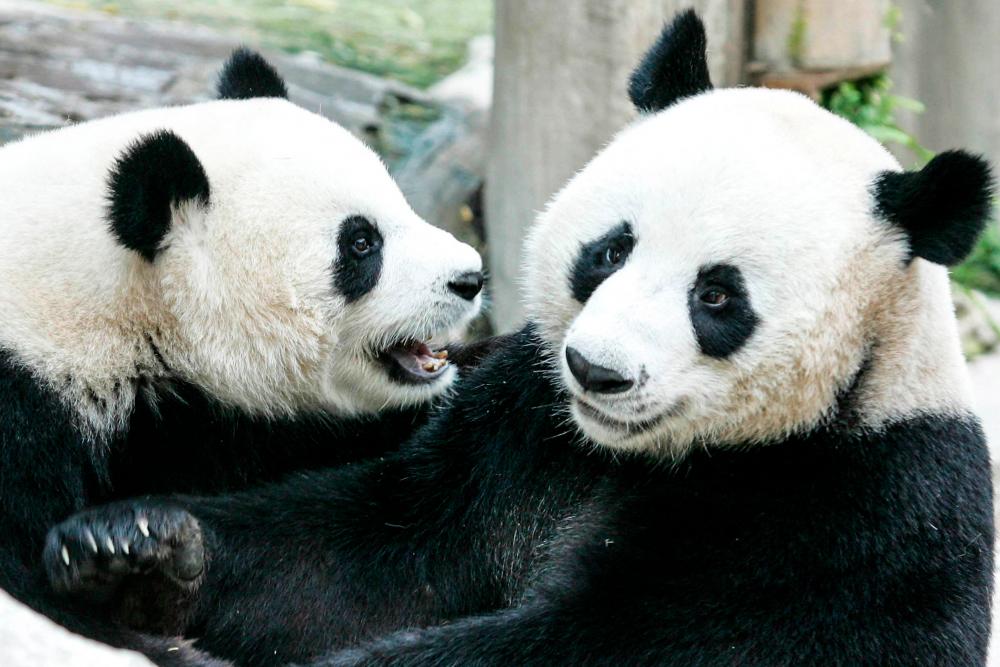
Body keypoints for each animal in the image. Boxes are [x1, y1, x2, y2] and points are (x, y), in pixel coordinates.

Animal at [45, 10, 992, 667]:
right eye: (610, 249)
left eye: (718, 296)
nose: (598, 371)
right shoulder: (520, 428)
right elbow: (365, 557)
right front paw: (133, 548)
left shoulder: (844, 518)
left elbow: (621, 640)